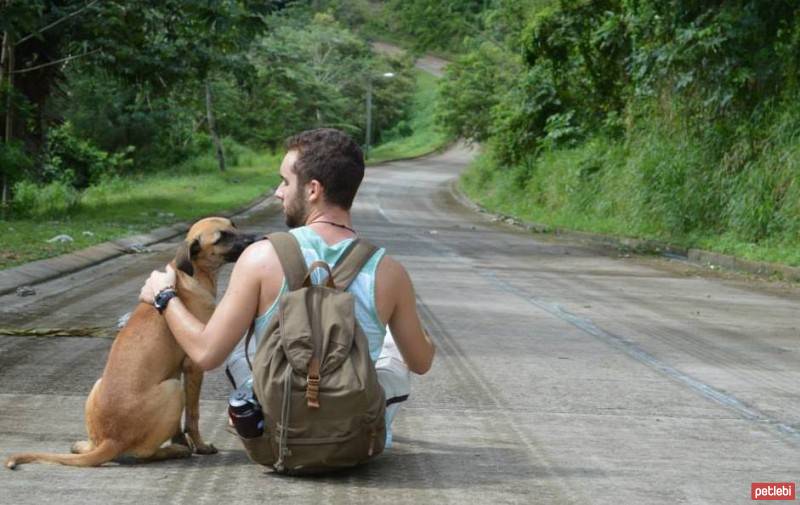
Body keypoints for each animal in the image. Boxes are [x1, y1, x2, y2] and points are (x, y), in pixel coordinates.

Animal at [5, 215, 256, 466]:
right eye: (221, 238)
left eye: (233, 226)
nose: (255, 239)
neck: (193, 275)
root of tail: (112, 440)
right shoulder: (193, 366)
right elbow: (193, 416)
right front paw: (200, 446)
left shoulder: (174, 369)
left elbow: (177, 426)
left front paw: (182, 441)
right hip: (174, 390)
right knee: (144, 453)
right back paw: (173, 451)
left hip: (104, 386)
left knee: (96, 444)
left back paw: (82, 446)